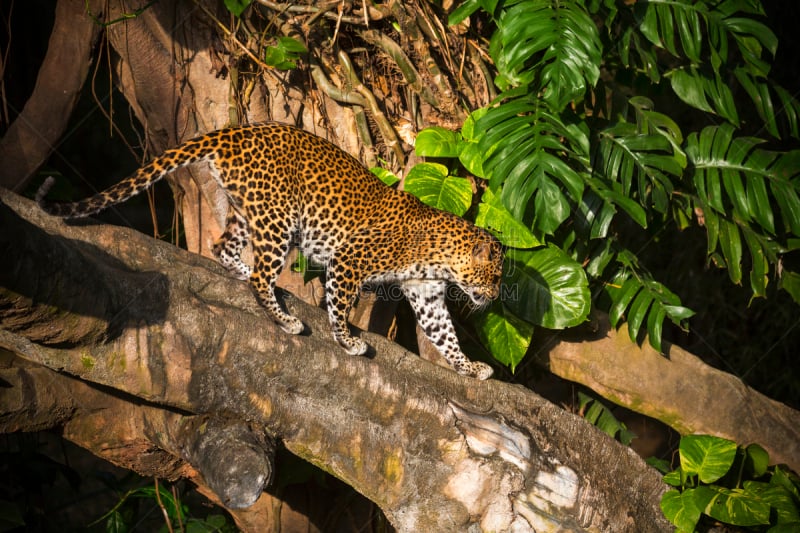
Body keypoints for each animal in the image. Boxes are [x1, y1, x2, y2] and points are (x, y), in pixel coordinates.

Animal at [37, 120, 504, 378]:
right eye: (497, 276)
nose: (497, 295)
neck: (440, 259)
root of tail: (235, 130)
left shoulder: (427, 296)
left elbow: (444, 336)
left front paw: (468, 367)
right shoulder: (348, 261)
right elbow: (339, 307)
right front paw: (347, 343)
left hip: (249, 211)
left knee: (223, 248)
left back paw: (253, 282)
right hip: (280, 218)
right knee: (261, 273)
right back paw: (285, 319)